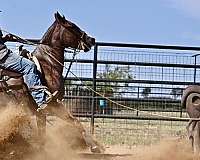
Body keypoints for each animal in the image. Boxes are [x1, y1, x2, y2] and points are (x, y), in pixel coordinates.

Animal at [0, 12, 103, 152]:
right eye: (72, 26)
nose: (91, 39)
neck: (49, 65)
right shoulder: (53, 105)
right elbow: (75, 122)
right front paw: (94, 146)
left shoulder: (41, 113)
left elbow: (43, 134)